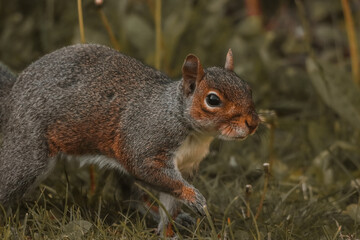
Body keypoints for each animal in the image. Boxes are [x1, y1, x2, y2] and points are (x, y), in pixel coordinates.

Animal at [0, 44, 258, 235]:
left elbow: (170, 203)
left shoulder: (187, 165)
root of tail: (13, 93)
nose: (253, 123)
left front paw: (168, 231)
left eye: (248, 88)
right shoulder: (145, 143)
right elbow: (151, 171)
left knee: (132, 196)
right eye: (213, 100)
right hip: (28, 152)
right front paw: (193, 197)